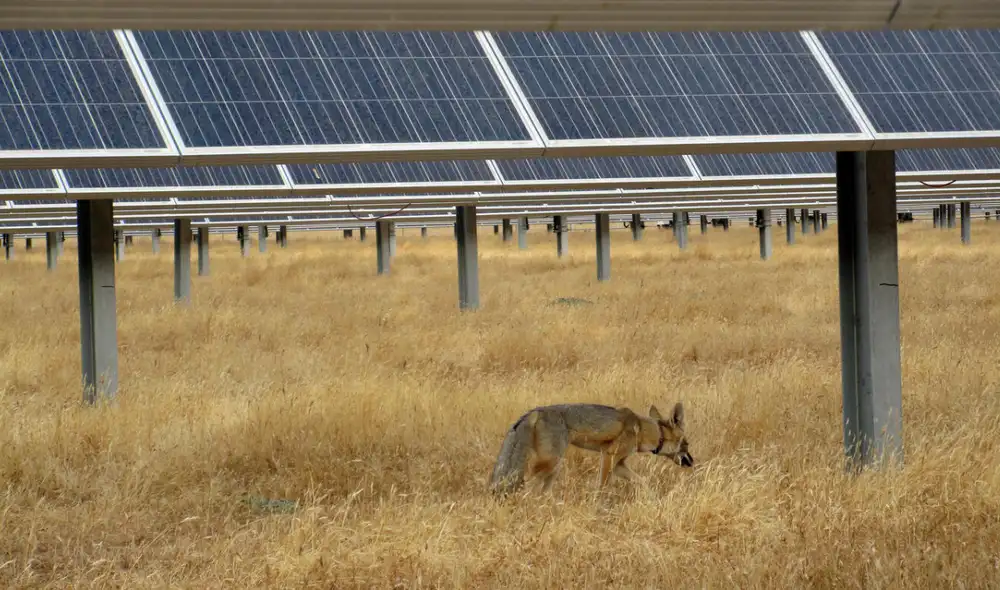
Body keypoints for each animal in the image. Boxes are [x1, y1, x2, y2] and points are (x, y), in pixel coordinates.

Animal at [488, 401, 693, 496]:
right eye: (686, 444)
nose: (692, 462)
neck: (641, 428)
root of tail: (534, 411)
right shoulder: (609, 456)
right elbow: (602, 487)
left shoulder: (619, 464)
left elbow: (643, 482)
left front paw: (653, 498)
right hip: (552, 464)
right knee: (527, 487)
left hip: (553, 469)